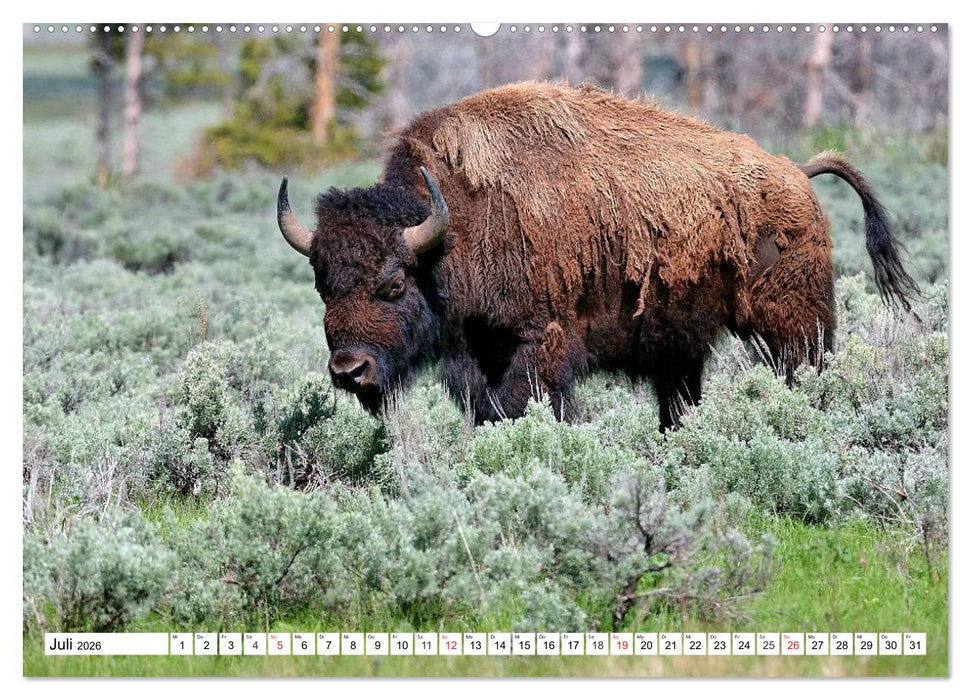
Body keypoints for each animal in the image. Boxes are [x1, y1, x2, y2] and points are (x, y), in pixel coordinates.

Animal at [277, 82, 918, 430]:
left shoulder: (540, 343)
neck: (457, 222)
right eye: (323, 286)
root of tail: (796, 173)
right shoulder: (478, 354)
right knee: (678, 399)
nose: (349, 370)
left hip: (792, 324)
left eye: (393, 284)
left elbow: (518, 405)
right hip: (680, 345)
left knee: (804, 371)